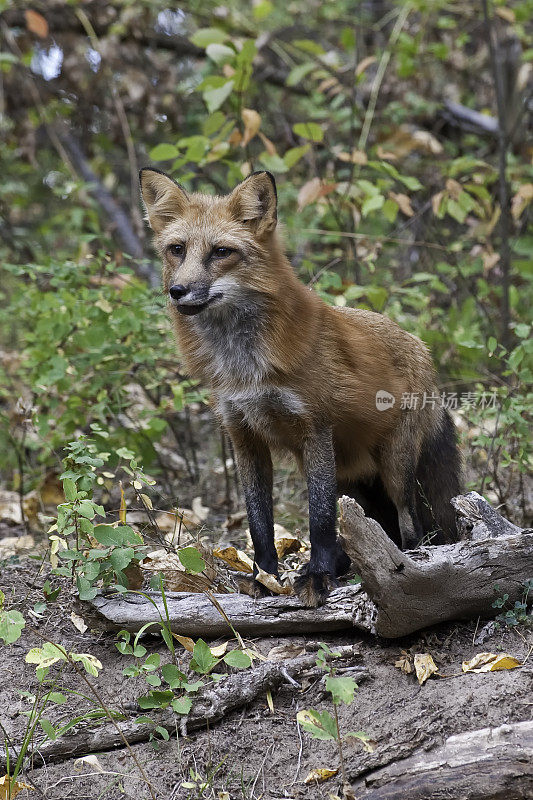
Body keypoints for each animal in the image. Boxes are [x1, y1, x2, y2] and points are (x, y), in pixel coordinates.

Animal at [140, 169, 462, 608]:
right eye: (177, 249)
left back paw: (402, 561)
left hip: (395, 467)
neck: (245, 368)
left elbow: (320, 518)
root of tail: (419, 344)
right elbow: (259, 522)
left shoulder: (315, 427)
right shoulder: (243, 435)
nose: (178, 291)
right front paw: (265, 578)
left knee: (409, 524)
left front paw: (317, 578)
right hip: (352, 479)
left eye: (221, 252)